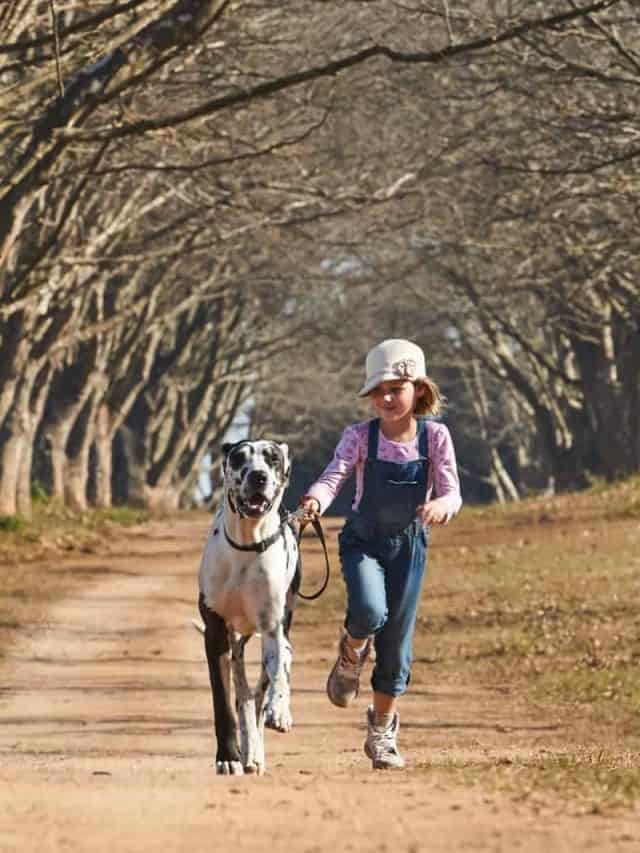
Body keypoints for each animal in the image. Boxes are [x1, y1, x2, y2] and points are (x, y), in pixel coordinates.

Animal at [198, 440, 300, 772]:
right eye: (239, 458)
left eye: (273, 458)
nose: (258, 476)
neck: (246, 543)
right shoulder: (215, 633)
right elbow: (223, 702)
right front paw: (228, 757)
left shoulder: (272, 628)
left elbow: (278, 673)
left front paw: (279, 710)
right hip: (236, 644)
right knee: (242, 694)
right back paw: (247, 748)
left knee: (264, 685)